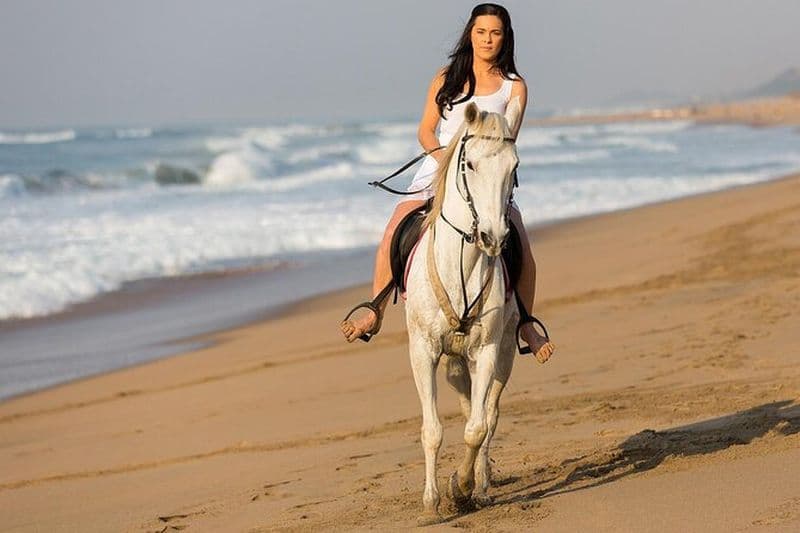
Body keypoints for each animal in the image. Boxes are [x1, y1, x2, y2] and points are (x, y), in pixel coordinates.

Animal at [404, 99, 522, 525]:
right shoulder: (422, 351)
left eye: (514, 166)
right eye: (468, 164)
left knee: (489, 413)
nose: (494, 237)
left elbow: (477, 427)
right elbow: (433, 430)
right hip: (453, 360)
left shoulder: (488, 350)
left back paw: (482, 485)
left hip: (503, 354)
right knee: (467, 400)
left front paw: (463, 486)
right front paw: (431, 503)